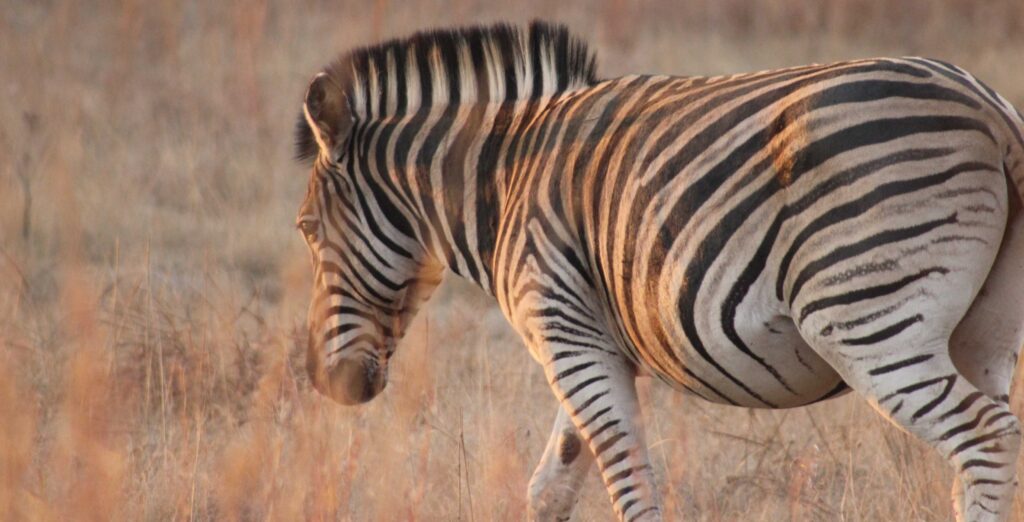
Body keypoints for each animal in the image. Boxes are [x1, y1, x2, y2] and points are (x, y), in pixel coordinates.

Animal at [293, 21, 1024, 521]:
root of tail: (989, 110)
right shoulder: (588, 338)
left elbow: (625, 480)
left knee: (984, 440)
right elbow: (552, 484)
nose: (327, 384)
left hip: (867, 319)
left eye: (305, 229)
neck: (503, 181)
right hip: (983, 330)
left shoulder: (563, 330)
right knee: (995, 440)